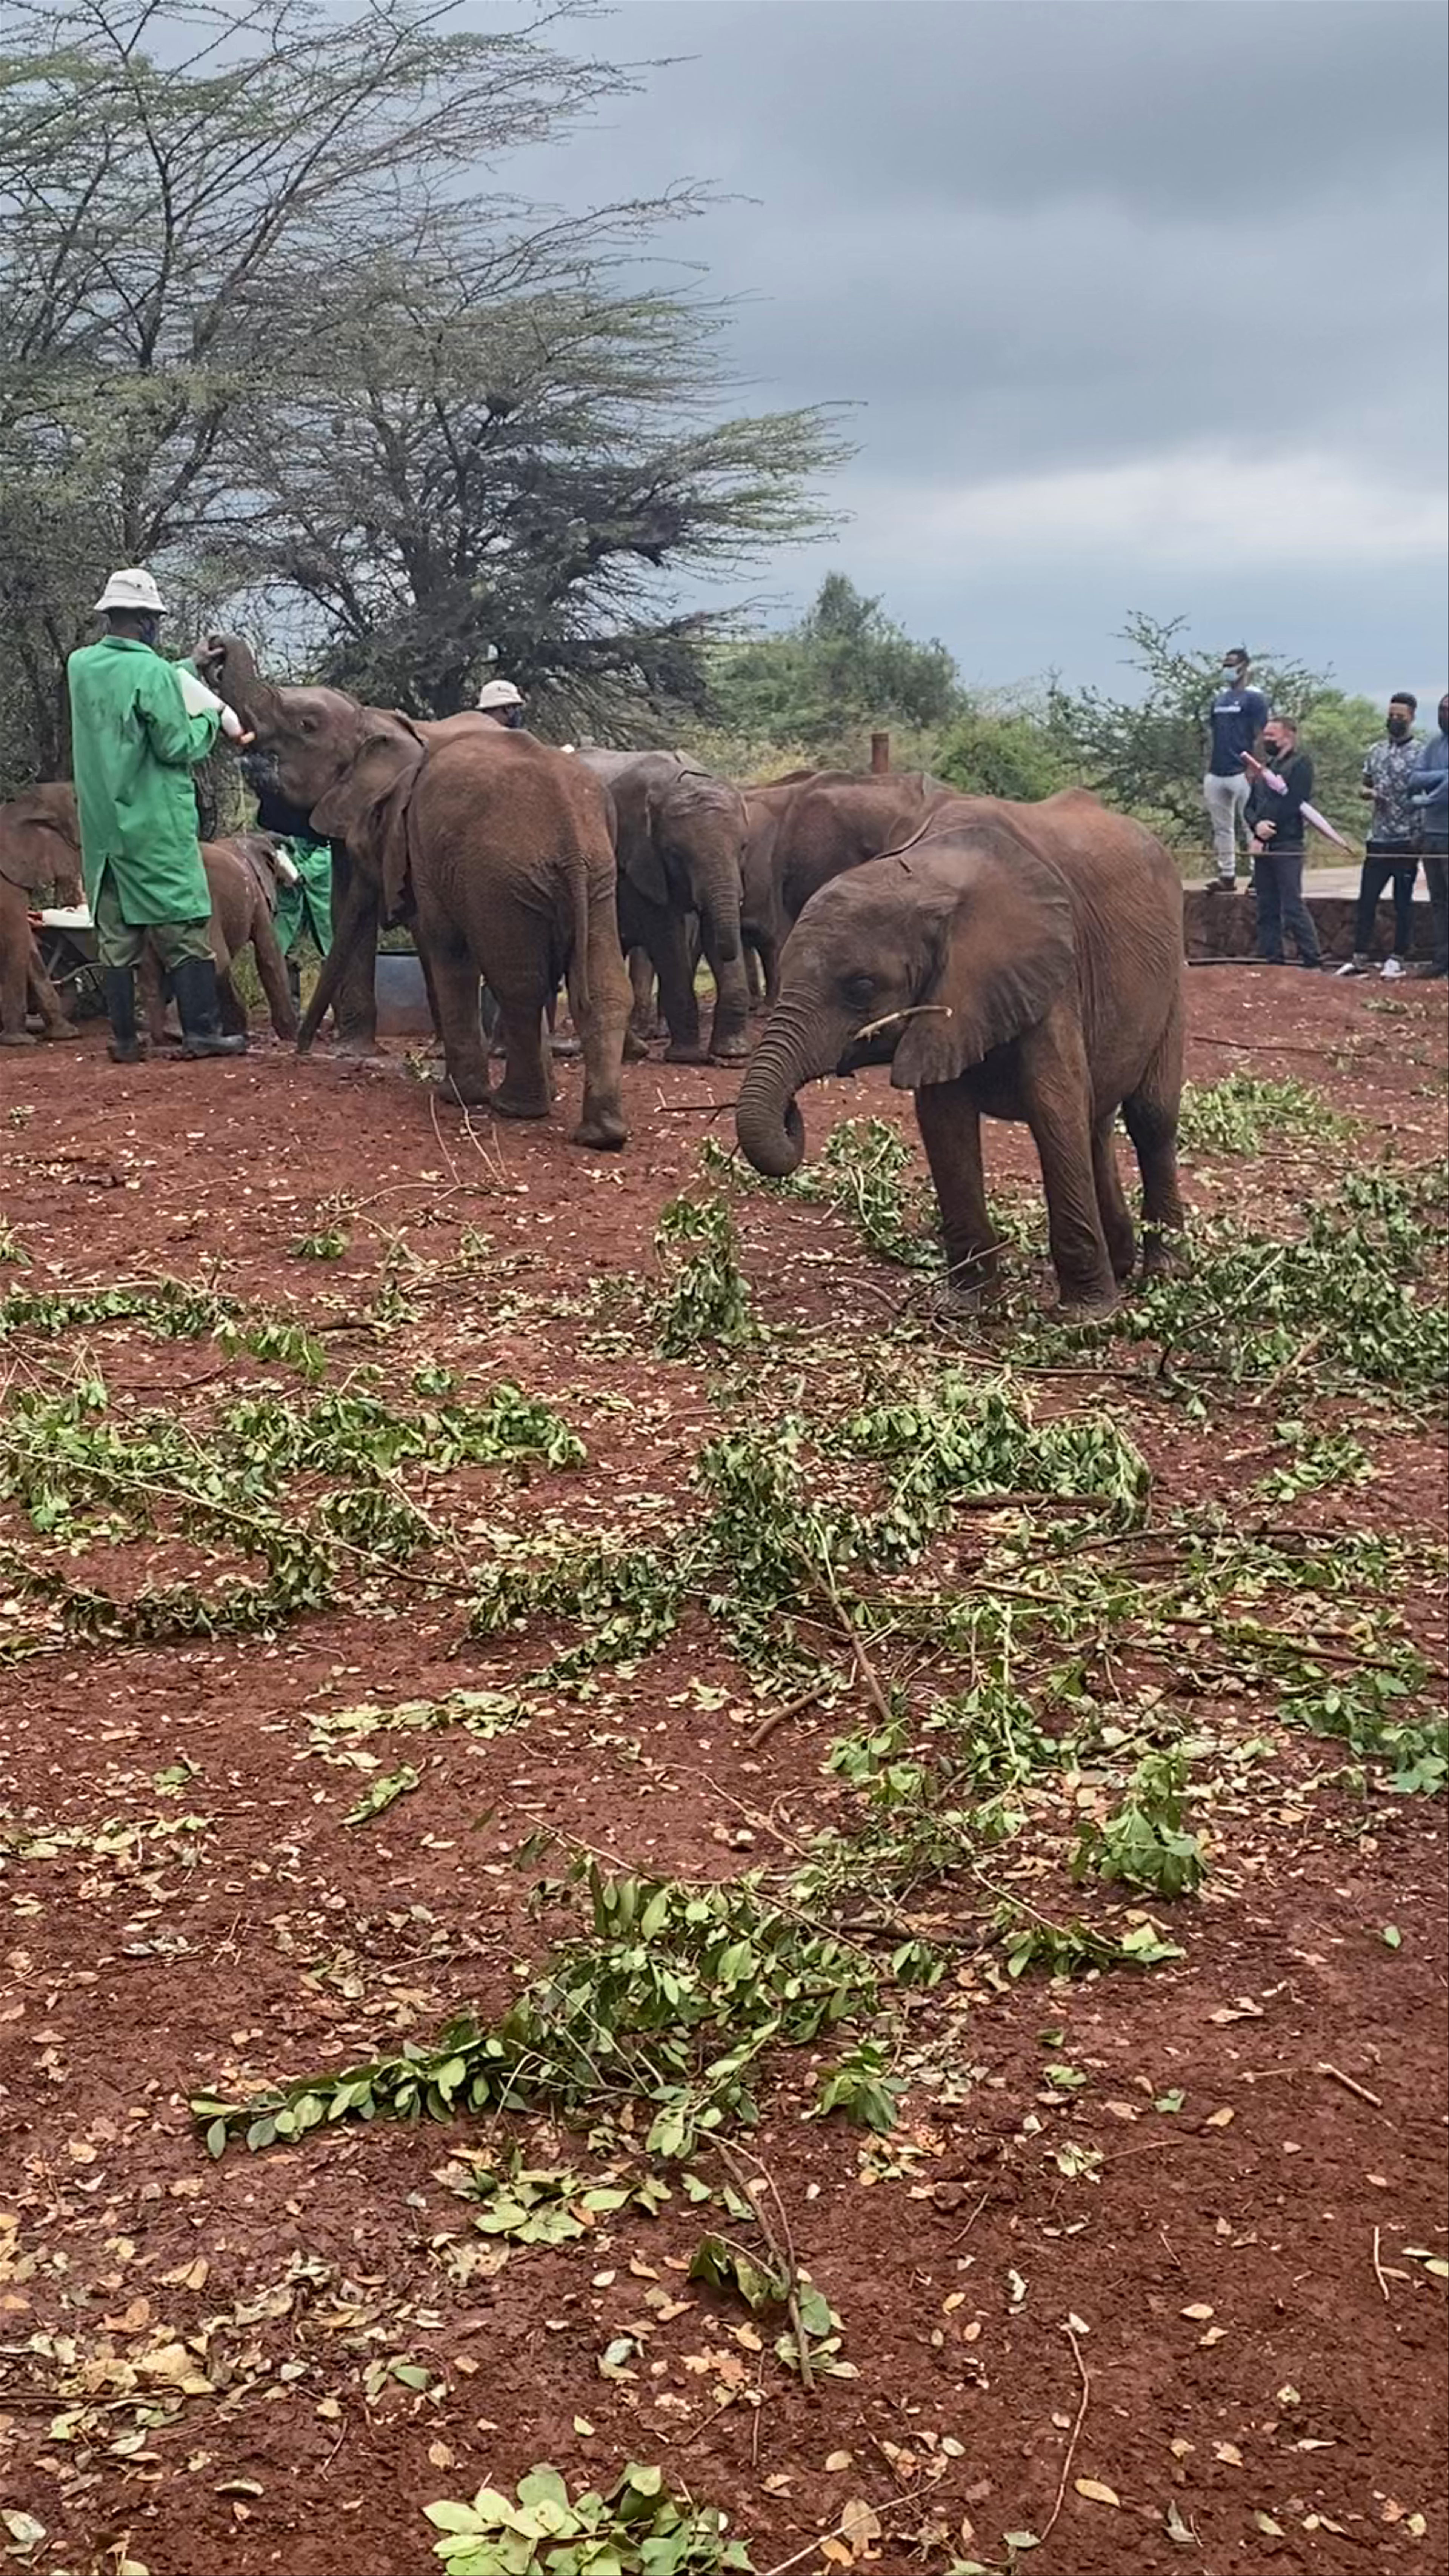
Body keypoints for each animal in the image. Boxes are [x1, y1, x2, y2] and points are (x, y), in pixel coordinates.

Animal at [138, 835, 298, 1047]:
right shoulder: (257, 897)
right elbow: (269, 952)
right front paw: (293, 1035)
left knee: (149, 972)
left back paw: (162, 1038)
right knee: (215, 960)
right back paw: (181, 1035)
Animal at [201, 642, 629, 1147]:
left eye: (305, 724)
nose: (302, 1052)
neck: (371, 720)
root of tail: (568, 830)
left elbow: (439, 947)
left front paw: (454, 1093)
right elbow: (349, 908)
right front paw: (352, 1051)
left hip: (501, 879)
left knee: (516, 981)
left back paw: (514, 1105)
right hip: (598, 875)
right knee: (602, 987)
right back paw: (601, 1132)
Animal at [576, 751, 751, 1063]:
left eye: (743, 848)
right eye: (675, 854)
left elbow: (712, 927)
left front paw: (733, 1053)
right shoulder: (637, 860)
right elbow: (666, 937)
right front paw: (686, 1057)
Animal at [735, 790, 1186, 1319]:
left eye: (862, 988)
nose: (793, 1112)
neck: (931, 876)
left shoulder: (1050, 973)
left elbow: (1053, 1108)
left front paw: (1086, 1316)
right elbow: (944, 1121)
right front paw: (964, 1306)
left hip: (1173, 980)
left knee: (1150, 1119)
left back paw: (1166, 1273)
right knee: (1096, 1119)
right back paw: (1121, 1265)